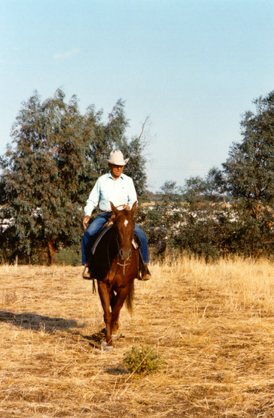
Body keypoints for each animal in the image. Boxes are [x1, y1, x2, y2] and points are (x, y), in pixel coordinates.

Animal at [90, 201, 139, 348]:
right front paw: (108, 341)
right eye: (116, 228)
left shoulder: (125, 287)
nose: (125, 253)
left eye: (133, 226)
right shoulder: (102, 284)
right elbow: (108, 313)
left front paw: (112, 335)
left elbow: (116, 310)